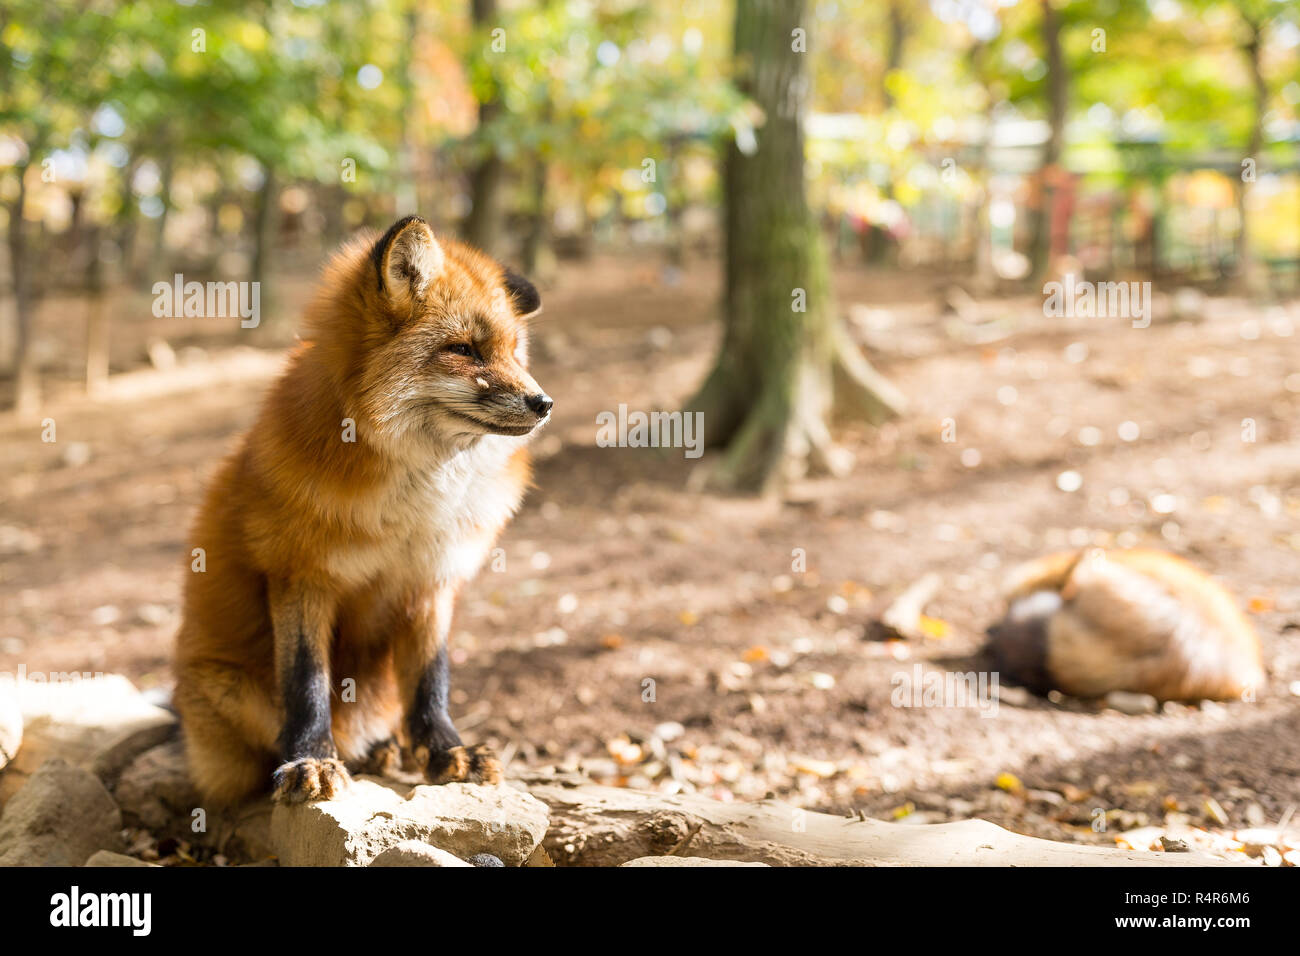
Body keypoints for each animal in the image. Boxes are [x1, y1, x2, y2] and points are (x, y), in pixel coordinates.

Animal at [174, 217, 553, 806]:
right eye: (463, 349)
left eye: (515, 352)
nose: (544, 404)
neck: (410, 510)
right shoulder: (300, 576)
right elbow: (306, 683)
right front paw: (310, 759)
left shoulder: (431, 581)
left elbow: (431, 682)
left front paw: (445, 751)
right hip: (228, 696)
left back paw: (383, 749)